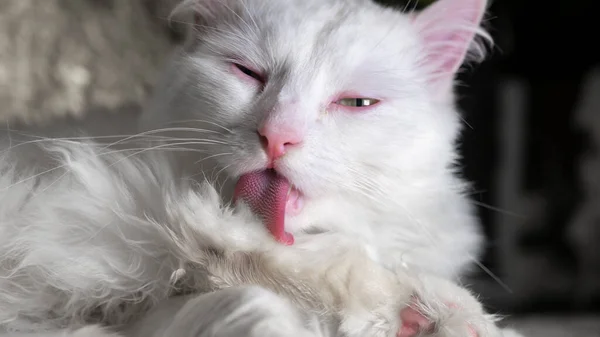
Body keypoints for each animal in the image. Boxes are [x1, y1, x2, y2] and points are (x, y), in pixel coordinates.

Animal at [0, 0, 524, 334]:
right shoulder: (108, 211)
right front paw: (437, 312)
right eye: (247, 73)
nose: (277, 136)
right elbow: (323, 263)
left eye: (356, 103)